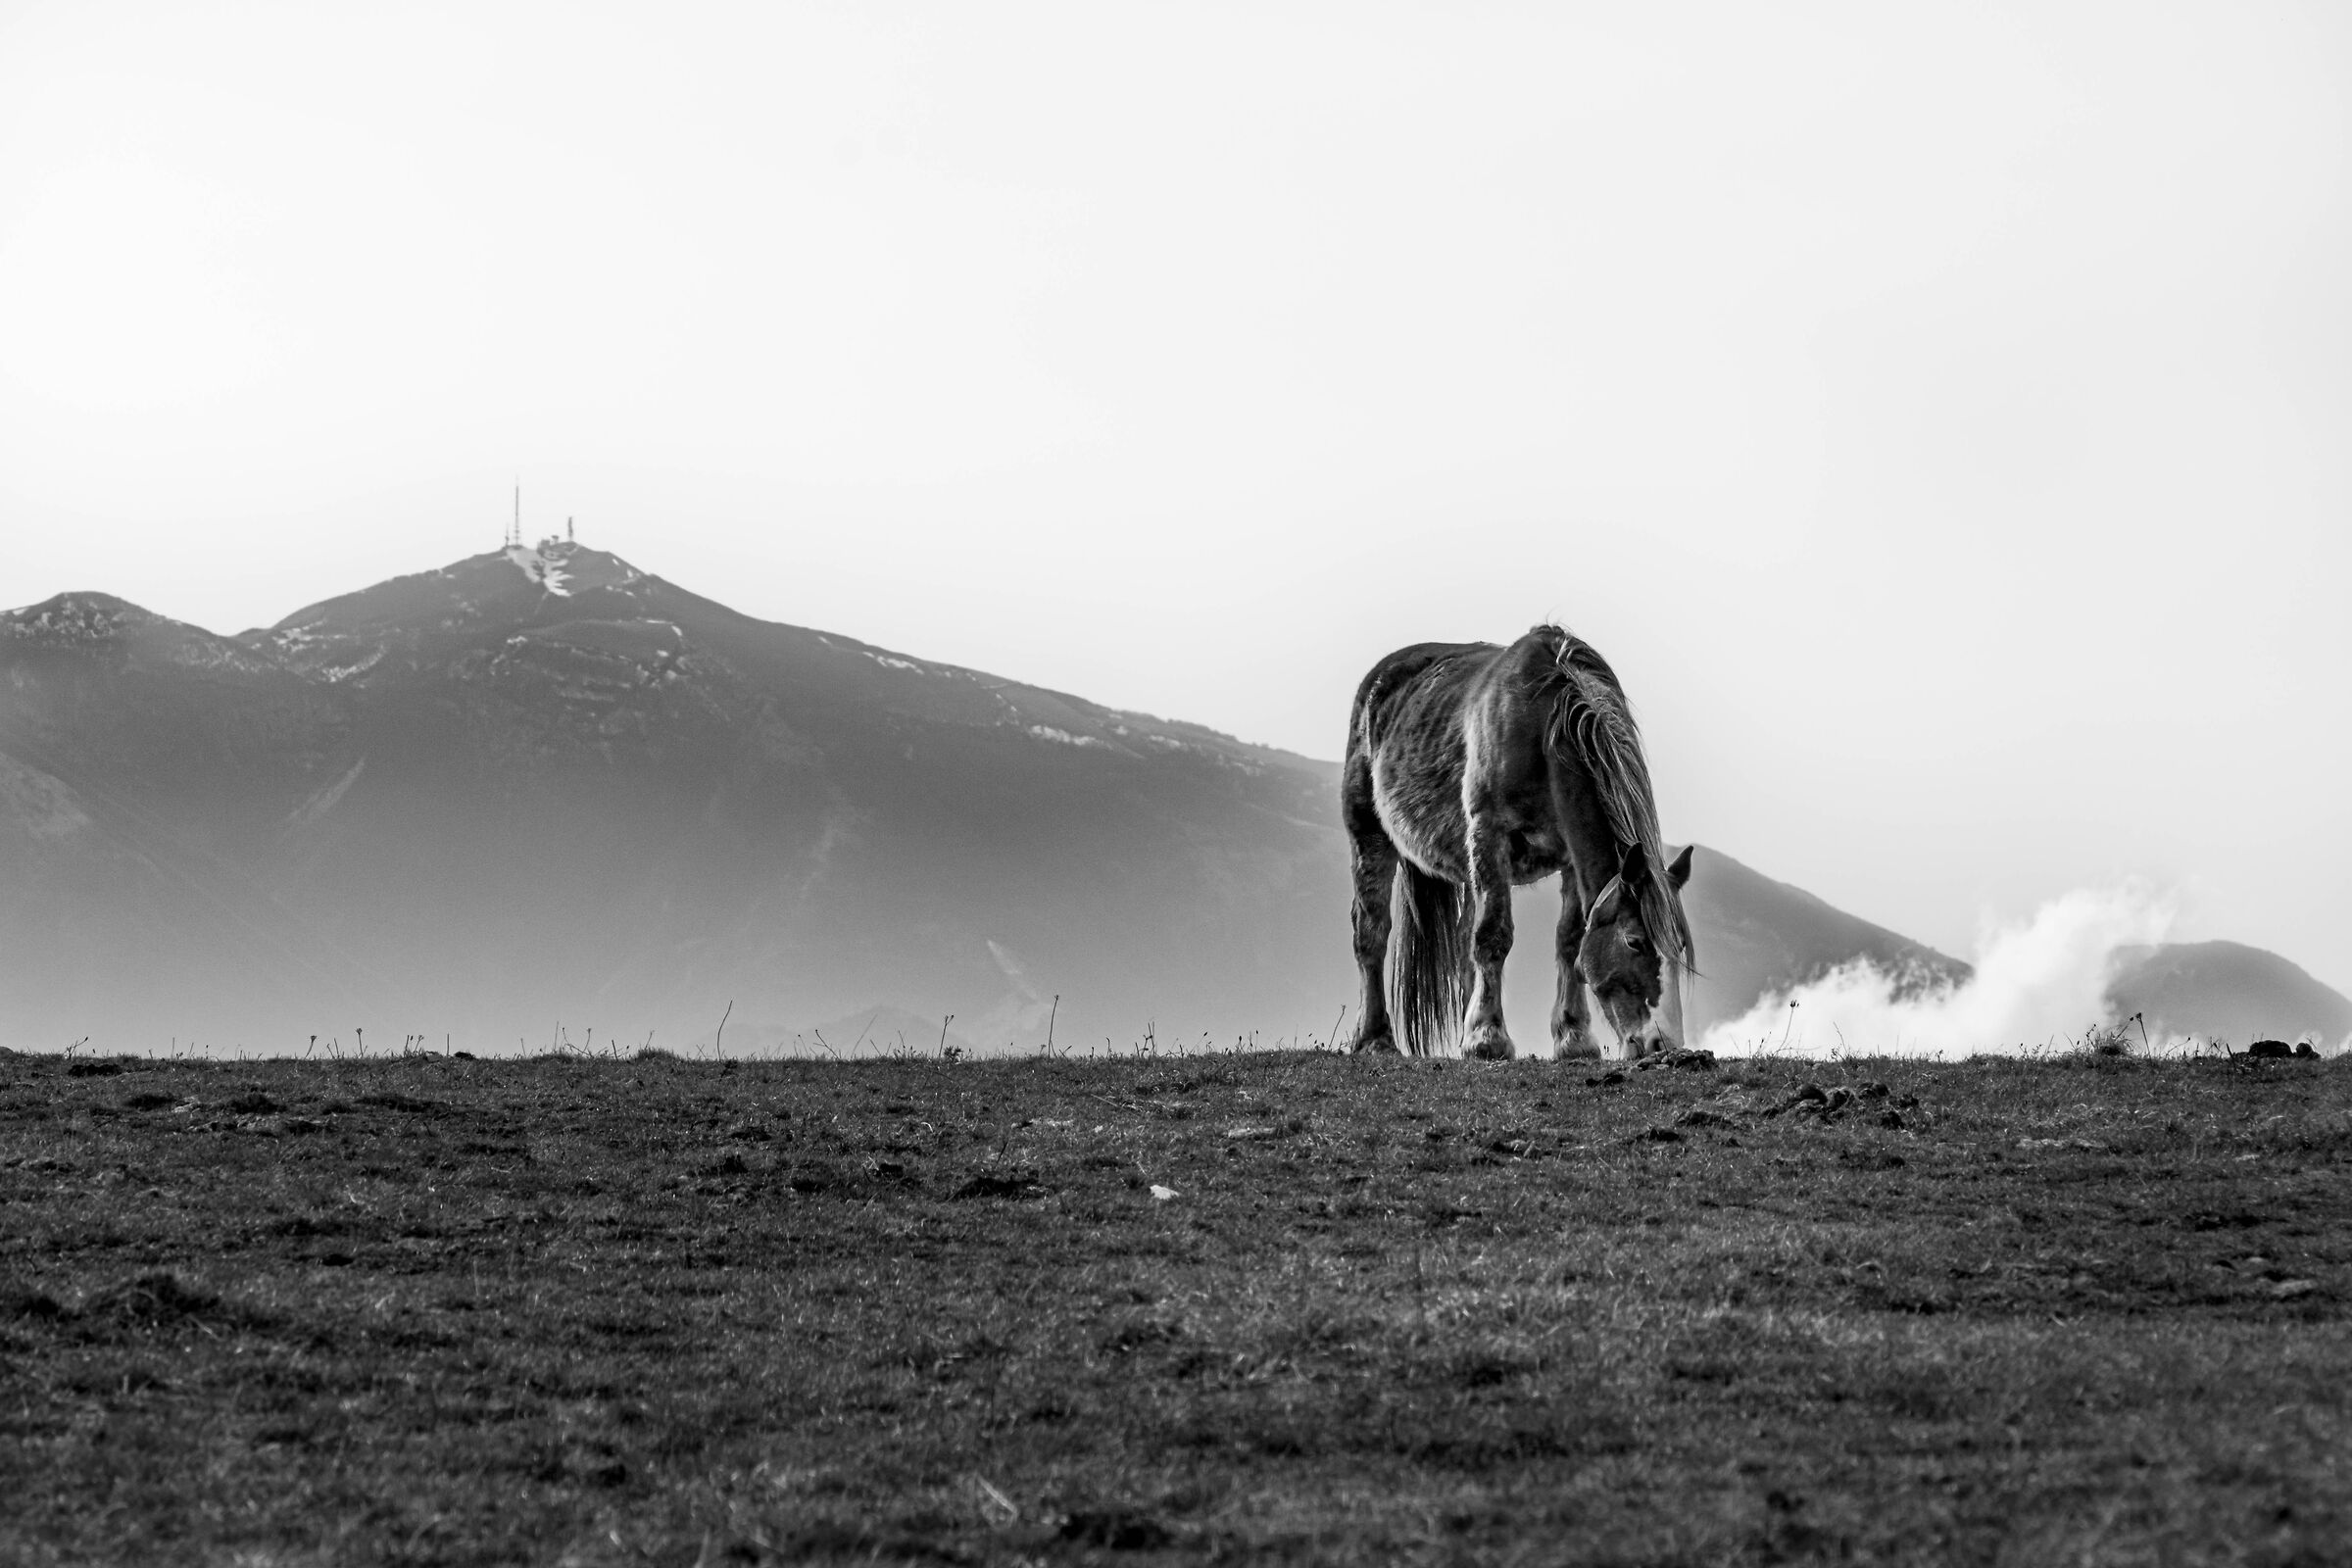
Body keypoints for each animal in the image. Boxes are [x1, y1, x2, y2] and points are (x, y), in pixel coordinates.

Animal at [1339, 624, 1694, 1060]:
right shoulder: (1490, 836)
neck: (1544, 729)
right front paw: (1488, 1037)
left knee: (1462, 944)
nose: (1664, 1044)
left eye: (1680, 947)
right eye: (1635, 942)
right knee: (1371, 932)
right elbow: (1493, 936)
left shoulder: (1570, 859)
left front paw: (1573, 1038)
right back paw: (1375, 1038)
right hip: (1370, 836)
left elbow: (1569, 942)